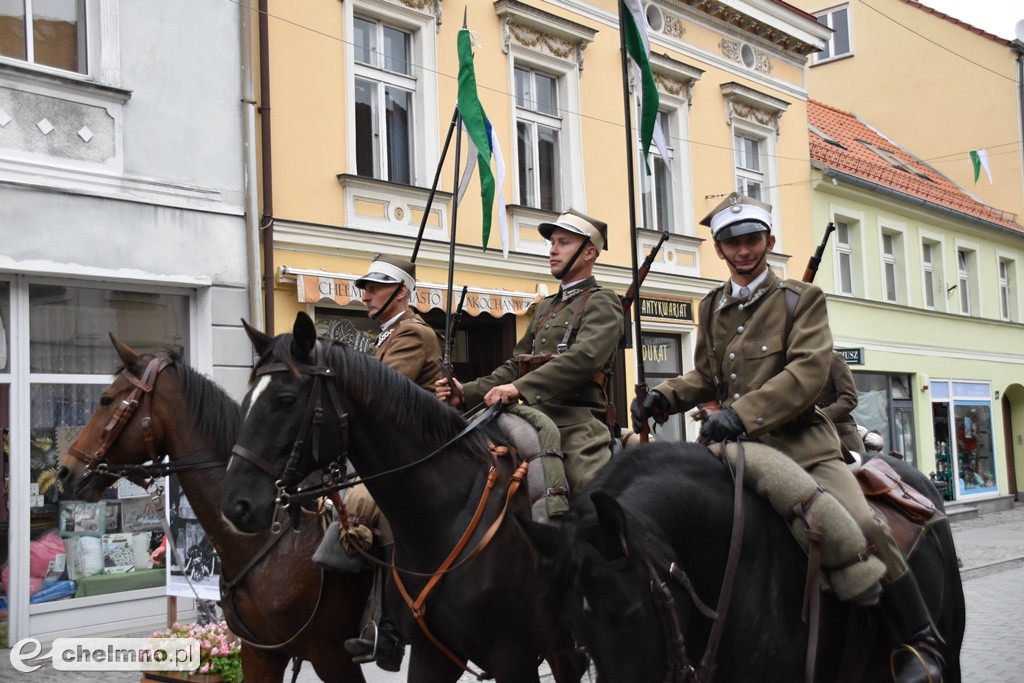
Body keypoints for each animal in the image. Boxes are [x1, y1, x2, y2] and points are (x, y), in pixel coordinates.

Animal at [222, 313, 593, 679]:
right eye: (247, 400)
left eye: (284, 401)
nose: (236, 505)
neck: (448, 515)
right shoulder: (433, 655)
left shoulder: (513, 657)